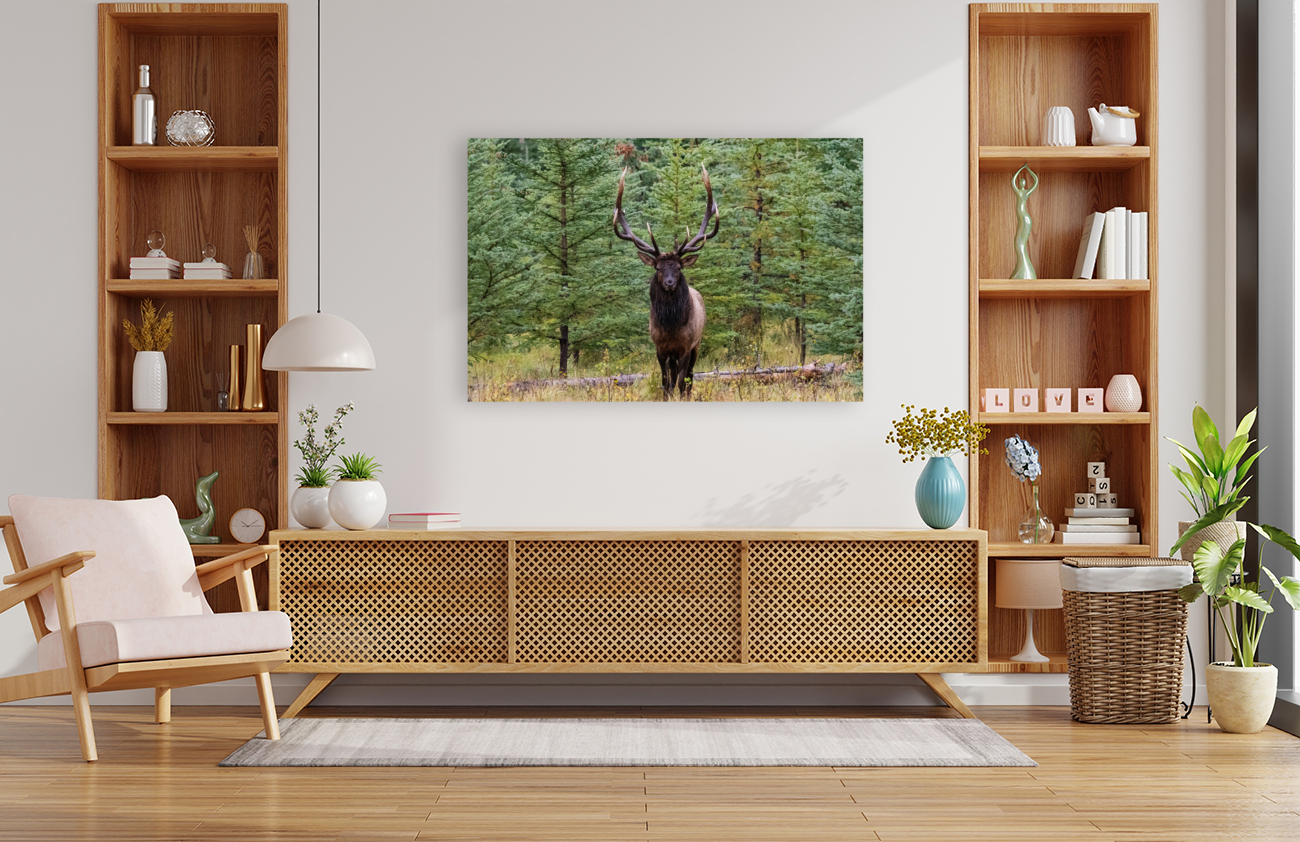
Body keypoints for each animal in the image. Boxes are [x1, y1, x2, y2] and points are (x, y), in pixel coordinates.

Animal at [614, 164, 719, 400]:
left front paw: (682, 397)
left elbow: (681, 382)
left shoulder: (686, 347)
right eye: (658, 268)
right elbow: (665, 383)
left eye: (678, 268)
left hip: (698, 344)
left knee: (689, 378)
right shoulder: (660, 349)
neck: (670, 327)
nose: (670, 282)